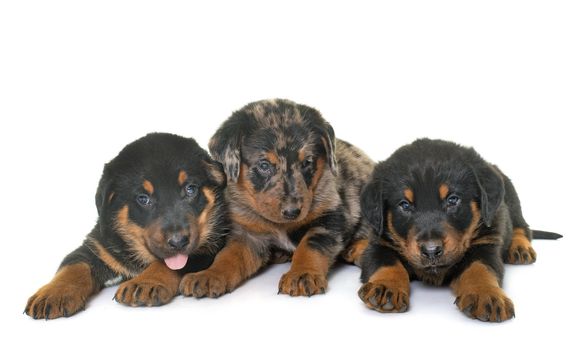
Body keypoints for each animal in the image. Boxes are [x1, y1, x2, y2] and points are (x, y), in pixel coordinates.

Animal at [25, 134, 230, 320]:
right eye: (143, 199)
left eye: (190, 189)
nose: (178, 242)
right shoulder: (96, 246)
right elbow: (73, 266)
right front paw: (53, 294)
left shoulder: (206, 248)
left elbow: (168, 265)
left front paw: (145, 282)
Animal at [179, 99, 374, 298]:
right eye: (264, 165)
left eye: (307, 163)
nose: (292, 212)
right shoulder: (247, 235)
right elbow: (227, 256)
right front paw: (209, 275)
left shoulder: (328, 218)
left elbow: (310, 246)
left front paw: (301, 274)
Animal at [358, 139, 560, 322]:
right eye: (405, 205)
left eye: (453, 199)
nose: (431, 250)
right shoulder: (378, 243)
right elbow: (386, 262)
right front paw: (386, 286)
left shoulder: (486, 243)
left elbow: (480, 268)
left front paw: (486, 294)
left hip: (512, 197)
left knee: (522, 227)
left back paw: (520, 248)